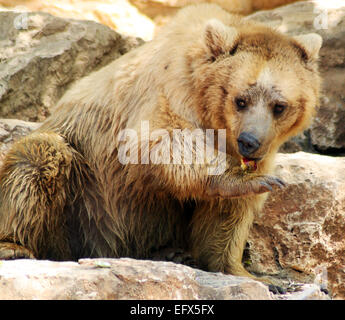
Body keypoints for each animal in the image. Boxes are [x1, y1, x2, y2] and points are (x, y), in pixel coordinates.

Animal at [0, 2, 322, 282]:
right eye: (240, 100)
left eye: (279, 106)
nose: (250, 141)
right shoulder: (169, 92)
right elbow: (163, 142)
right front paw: (243, 180)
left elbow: (228, 214)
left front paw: (245, 271)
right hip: (83, 195)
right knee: (37, 158)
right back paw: (14, 246)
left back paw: (173, 253)